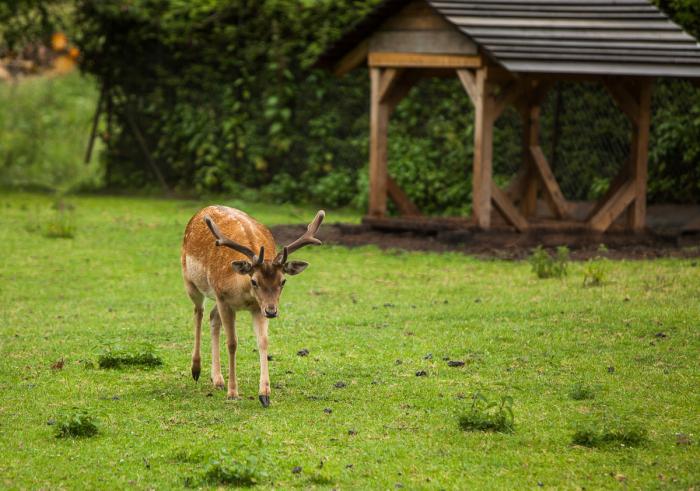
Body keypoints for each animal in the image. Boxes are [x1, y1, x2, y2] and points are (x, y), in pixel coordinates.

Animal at [179, 206, 324, 410]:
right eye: (254, 281)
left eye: (283, 281)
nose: (272, 311)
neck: (243, 293)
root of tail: (202, 210)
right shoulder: (224, 299)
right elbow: (232, 343)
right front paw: (233, 393)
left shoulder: (257, 308)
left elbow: (263, 342)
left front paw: (264, 394)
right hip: (190, 280)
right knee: (198, 312)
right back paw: (196, 369)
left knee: (212, 317)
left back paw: (218, 379)